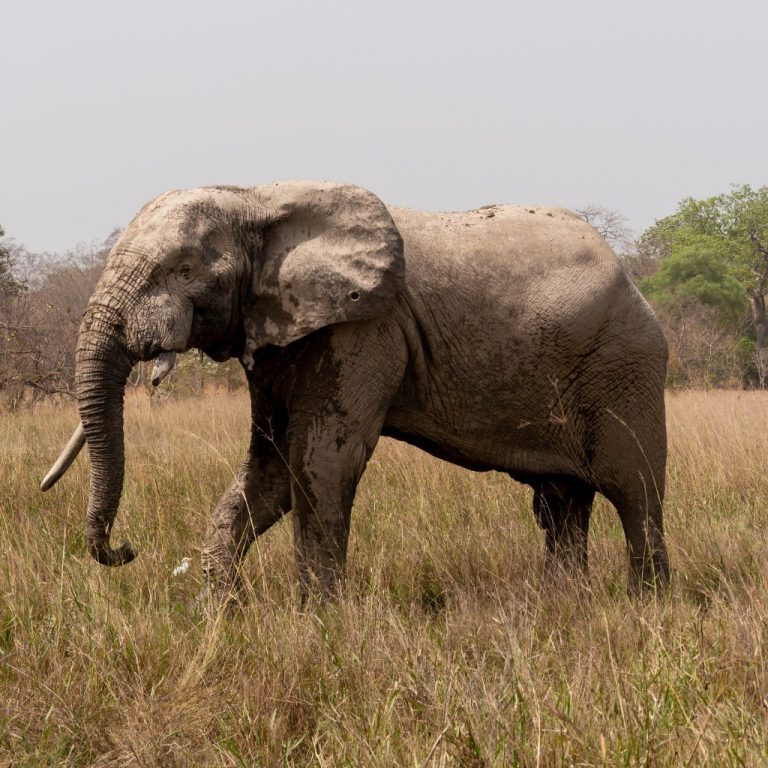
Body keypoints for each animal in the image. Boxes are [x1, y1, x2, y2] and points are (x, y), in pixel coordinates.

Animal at [42, 181, 670, 600]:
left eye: (185, 269)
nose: (124, 551)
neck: (258, 197)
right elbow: (271, 466)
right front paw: (219, 613)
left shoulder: (365, 328)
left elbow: (319, 459)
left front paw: (318, 621)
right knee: (561, 501)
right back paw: (564, 604)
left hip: (626, 364)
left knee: (634, 489)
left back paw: (644, 605)